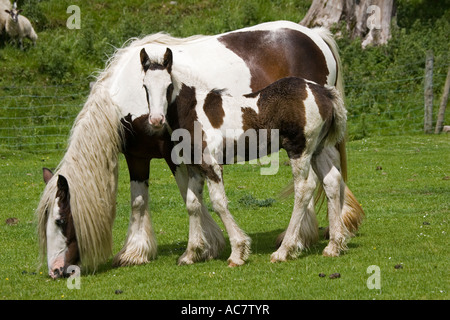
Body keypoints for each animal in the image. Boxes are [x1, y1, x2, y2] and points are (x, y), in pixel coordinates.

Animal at [37, 21, 364, 278]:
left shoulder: (179, 157)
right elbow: (149, 200)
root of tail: (315, 34)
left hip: (302, 149)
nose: (56, 270)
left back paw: (291, 244)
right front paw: (148, 252)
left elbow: (196, 199)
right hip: (316, 148)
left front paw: (216, 246)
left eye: (60, 221)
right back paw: (331, 242)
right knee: (331, 180)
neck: (123, 97)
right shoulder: (138, 155)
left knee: (306, 187)